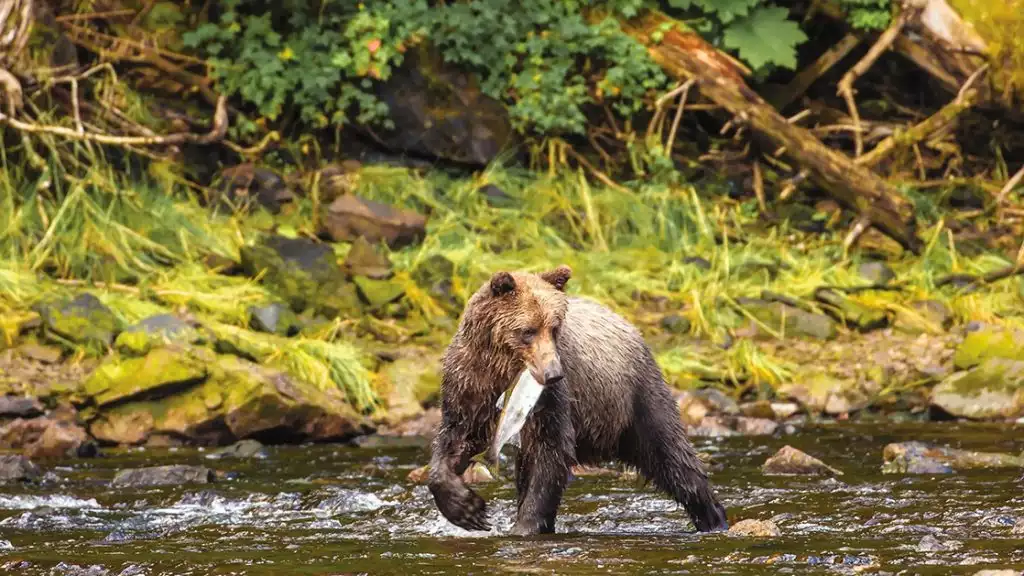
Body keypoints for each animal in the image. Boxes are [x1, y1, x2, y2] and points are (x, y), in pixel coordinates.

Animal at [423, 264, 729, 532]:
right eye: (527, 331)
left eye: (554, 327)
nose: (553, 373)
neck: (502, 370)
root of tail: (627, 322)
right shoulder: (469, 384)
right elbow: (455, 440)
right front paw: (467, 509)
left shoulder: (553, 401)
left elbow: (551, 454)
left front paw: (525, 525)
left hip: (633, 396)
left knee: (671, 455)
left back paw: (713, 518)